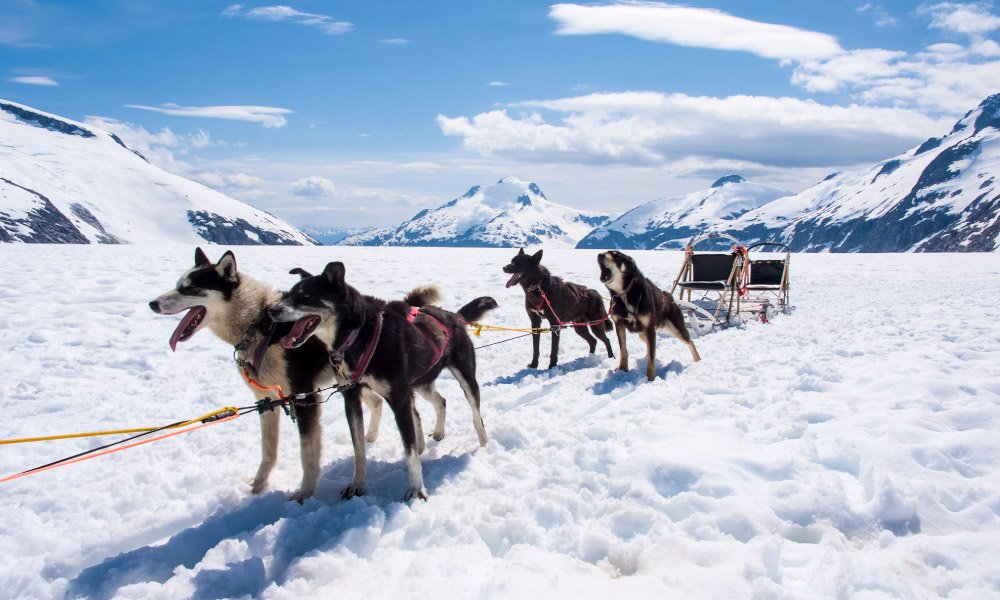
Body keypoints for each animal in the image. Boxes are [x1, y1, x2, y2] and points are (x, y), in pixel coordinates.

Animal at [270, 262, 496, 502]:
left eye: (305, 296)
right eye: (289, 294)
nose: (272, 311)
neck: (358, 335)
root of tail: (454, 316)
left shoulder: (398, 398)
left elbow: (409, 452)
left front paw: (416, 489)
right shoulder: (351, 397)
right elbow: (359, 449)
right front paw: (357, 484)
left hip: (464, 379)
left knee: (476, 417)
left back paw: (484, 447)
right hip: (420, 384)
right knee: (439, 402)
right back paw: (437, 434)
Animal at [596, 251, 700, 382]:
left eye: (617, 256)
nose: (600, 255)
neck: (625, 294)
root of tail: (669, 297)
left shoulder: (649, 329)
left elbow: (651, 358)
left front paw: (650, 379)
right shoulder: (619, 324)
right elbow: (623, 350)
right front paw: (623, 369)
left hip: (677, 330)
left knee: (691, 342)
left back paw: (698, 361)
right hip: (644, 333)